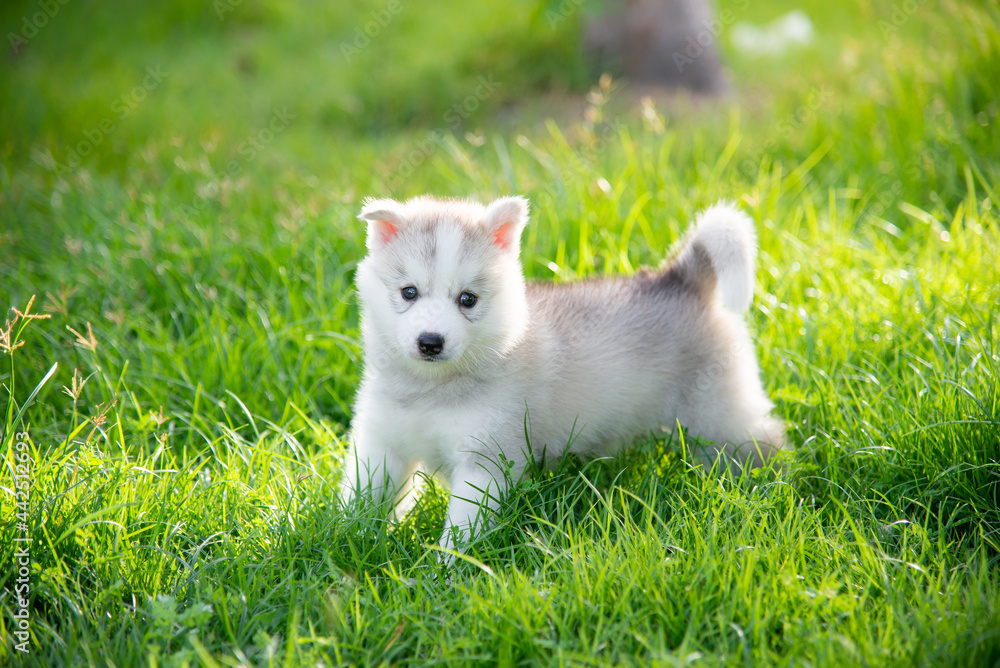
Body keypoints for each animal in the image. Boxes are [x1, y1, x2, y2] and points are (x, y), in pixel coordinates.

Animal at [340, 194, 784, 552]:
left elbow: (462, 529)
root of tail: (682, 278)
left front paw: (444, 571)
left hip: (719, 415)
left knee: (764, 442)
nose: (430, 342)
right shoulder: (379, 444)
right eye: (409, 292)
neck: (430, 390)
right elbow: (362, 497)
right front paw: (344, 539)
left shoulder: (483, 463)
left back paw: (773, 487)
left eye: (468, 299)